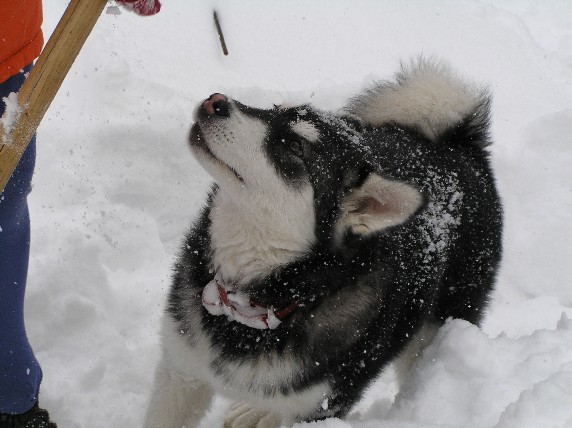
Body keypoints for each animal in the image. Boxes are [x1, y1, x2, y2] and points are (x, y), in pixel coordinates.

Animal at [145, 60, 502, 428]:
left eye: (295, 147)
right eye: (273, 109)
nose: (216, 101)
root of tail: (453, 144)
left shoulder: (321, 408)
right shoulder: (182, 371)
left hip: (435, 328)